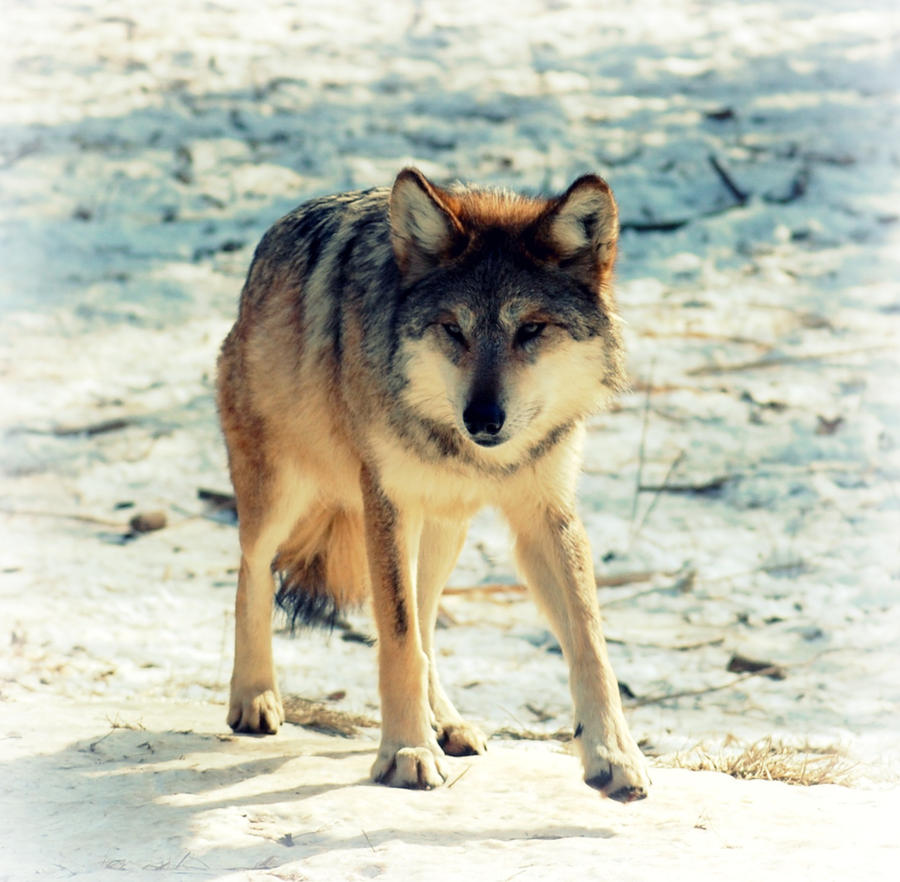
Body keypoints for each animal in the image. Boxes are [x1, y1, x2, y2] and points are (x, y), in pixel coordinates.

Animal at [216, 167, 650, 802]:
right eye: (453, 330)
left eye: (531, 329)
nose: (483, 419)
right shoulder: (387, 504)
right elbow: (398, 641)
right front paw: (405, 752)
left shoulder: (548, 515)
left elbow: (590, 643)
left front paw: (614, 756)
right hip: (283, 498)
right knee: (253, 570)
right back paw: (253, 697)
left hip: (444, 531)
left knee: (425, 624)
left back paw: (446, 723)